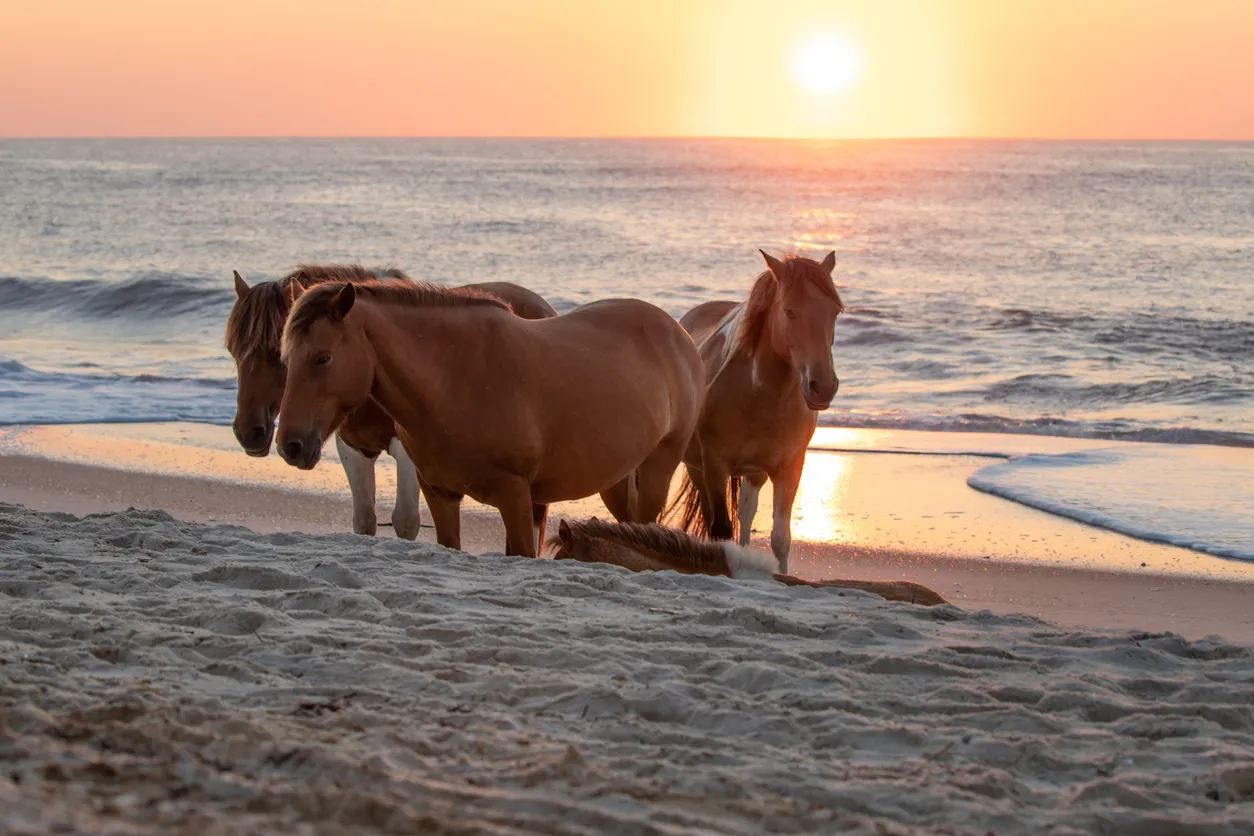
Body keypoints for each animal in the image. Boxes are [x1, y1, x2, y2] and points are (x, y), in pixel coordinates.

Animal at [225, 264, 557, 541]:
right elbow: (364, 519)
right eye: (232, 350)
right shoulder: (354, 449)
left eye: (275, 354)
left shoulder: (409, 453)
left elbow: (406, 521)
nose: (248, 433)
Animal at [275, 280, 704, 557]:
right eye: (286, 358)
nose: (290, 445)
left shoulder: (515, 495)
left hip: (658, 468)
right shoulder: (440, 493)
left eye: (323, 358)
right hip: (615, 477)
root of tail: (678, 333)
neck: (455, 379)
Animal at [669, 250, 844, 574]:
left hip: (755, 472)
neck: (761, 396)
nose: (823, 387)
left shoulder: (789, 467)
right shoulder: (714, 464)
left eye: (836, 311)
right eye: (789, 311)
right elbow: (720, 529)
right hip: (697, 468)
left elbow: (780, 537)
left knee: (746, 514)